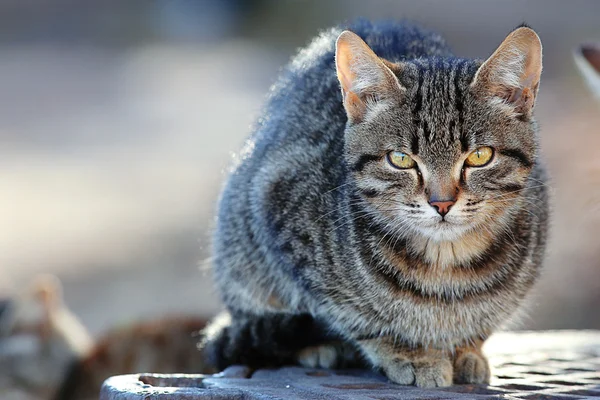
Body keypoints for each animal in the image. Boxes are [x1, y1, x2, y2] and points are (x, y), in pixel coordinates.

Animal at [204, 21, 552, 388]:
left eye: (480, 156)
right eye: (400, 159)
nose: (441, 203)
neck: (446, 268)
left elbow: (484, 319)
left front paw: (466, 349)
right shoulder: (277, 202)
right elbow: (356, 317)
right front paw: (411, 354)